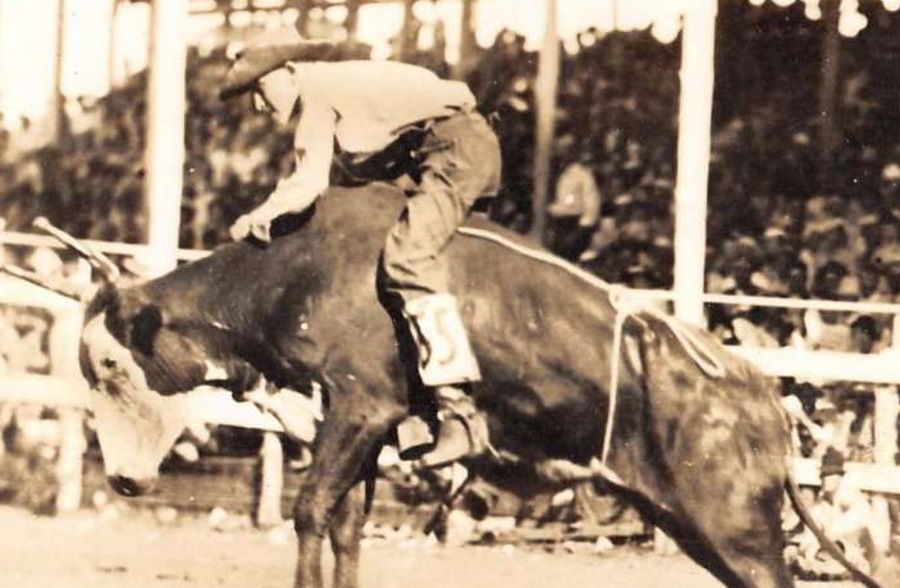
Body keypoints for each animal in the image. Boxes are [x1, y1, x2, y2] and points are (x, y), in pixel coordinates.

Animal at [12, 184, 884, 588]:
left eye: (110, 367)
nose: (124, 479)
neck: (295, 268)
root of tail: (765, 398)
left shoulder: (362, 404)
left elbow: (309, 511)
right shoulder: (360, 427)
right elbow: (344, 524)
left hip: (738, 528)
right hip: (700, 527)